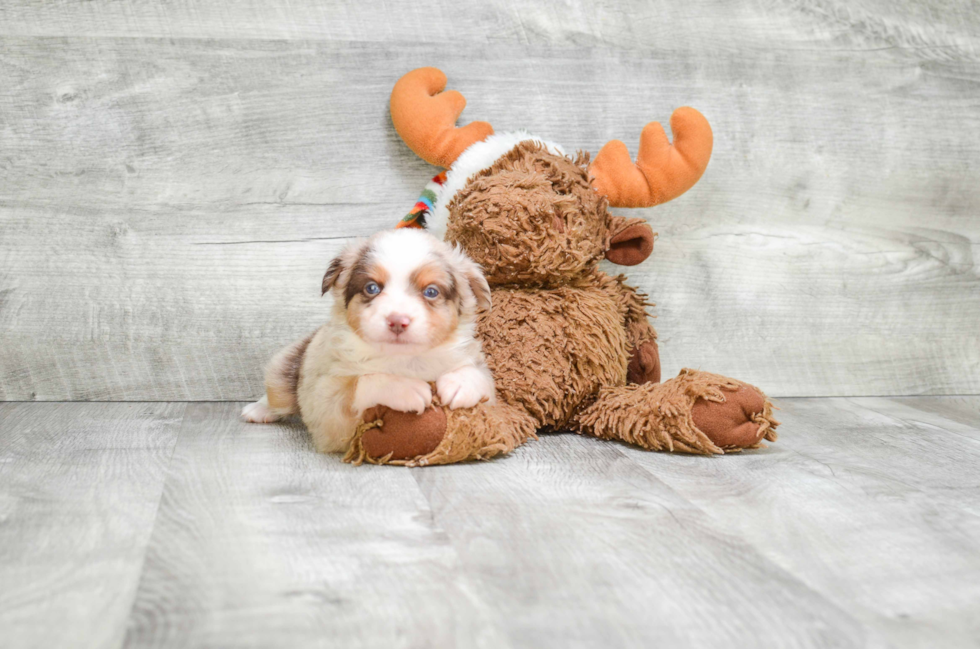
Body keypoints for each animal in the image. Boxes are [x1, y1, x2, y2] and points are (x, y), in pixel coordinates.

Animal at [238, 230, 498, 454]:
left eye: (431, 292)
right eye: (372, 288)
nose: (398, 321)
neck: (404, 359)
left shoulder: (491, 396)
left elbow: (481, 377)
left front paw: (460, 383)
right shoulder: (326, 406)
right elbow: (359, 383)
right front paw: (404, 388)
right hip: (288, 366)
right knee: (278, 392)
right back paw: (258, 409)